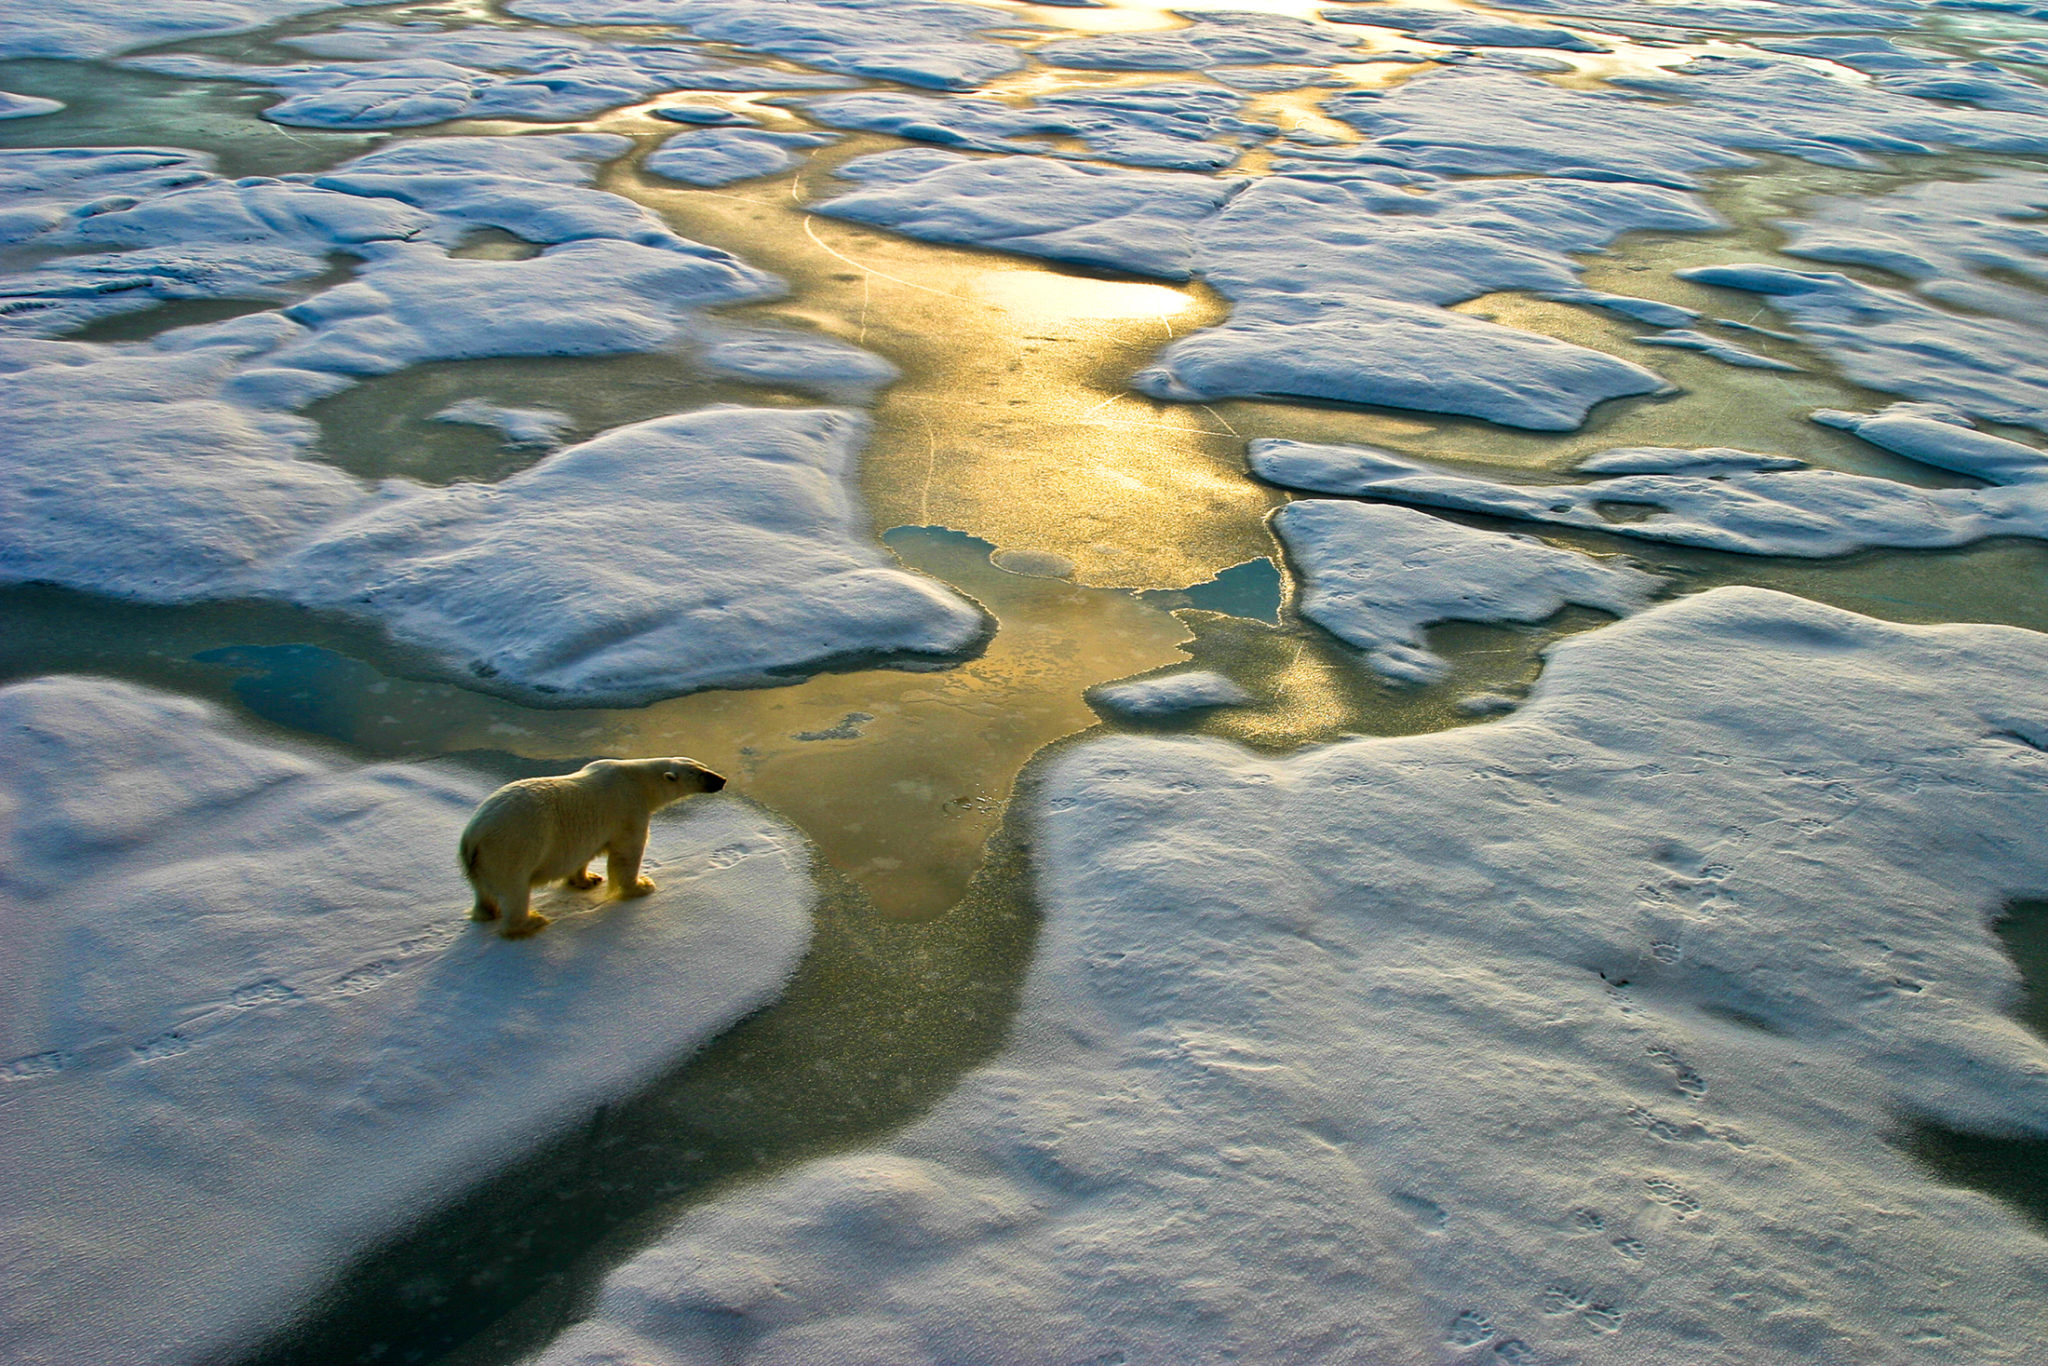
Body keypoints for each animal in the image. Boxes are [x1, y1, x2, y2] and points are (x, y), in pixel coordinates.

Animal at [462, 757, 729, 942]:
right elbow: (627, 853)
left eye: (704, 766)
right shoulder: (629, 810)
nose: (722, 779)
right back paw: (531, 922)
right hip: (511, 847)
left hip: (481, 863)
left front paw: (588, 879)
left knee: (483, 892)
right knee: (515, 890)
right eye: (699, 773)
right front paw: (641, 886)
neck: (638, 781)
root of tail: (472, 836)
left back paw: (488, 913)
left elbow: (583, 855)